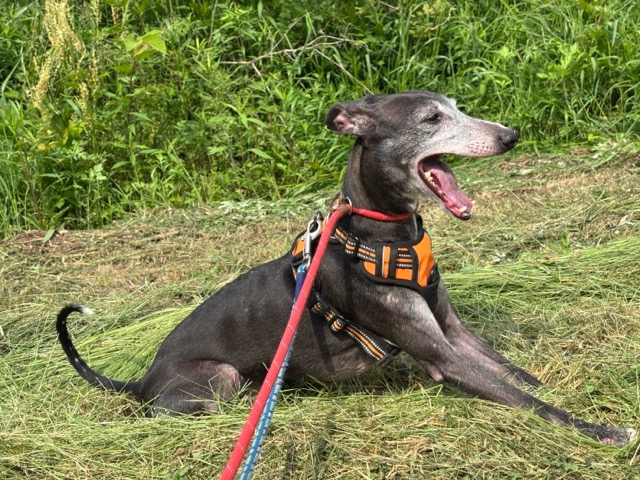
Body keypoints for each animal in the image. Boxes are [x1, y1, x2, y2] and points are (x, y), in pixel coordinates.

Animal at [57, 90, 636, 446]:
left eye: (456, 106)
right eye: (432, 119)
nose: (510, 135)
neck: (382, 237)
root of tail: (141, 381)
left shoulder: (451, 329)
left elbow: (518, 374)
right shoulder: (440, 356)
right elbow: (526, 400)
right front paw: (603, 431)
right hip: (220, 378)